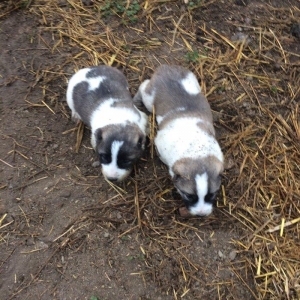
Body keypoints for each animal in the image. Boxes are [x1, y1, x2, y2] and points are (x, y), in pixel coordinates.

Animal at [135, 65, 224, 216]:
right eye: (189, 196)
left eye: (211, 195)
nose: (201, 214)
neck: (196, 152)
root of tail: (165, 68)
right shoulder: (160, 142)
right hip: (149, 99)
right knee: (144, 86)